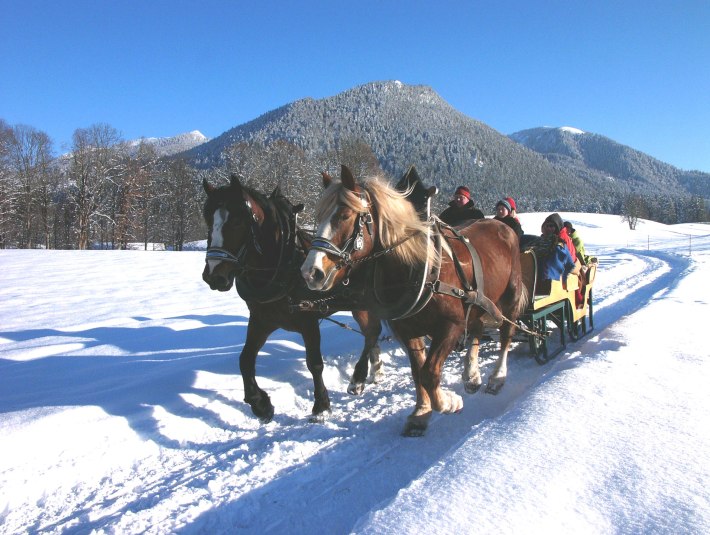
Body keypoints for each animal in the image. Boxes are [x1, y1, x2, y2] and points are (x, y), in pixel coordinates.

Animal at [202, 176, 384, 422]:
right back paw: (375, 369)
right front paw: (260, 404)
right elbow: (245, 359)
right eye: (207, 218)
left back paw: (359, 378)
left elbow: (314, 364)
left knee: (372, 333)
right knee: (372, 334)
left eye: (238, 221)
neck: (282, 266)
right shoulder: (261, 320)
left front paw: (321, 406)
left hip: (363, 304)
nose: (214, 275)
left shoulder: (308, 321)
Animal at [300, 164, 528, 436]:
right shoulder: (407, 330)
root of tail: (501, 225)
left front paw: (448, 402)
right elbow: (418, 373)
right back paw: (471, 375)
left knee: (506, 333)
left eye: (344, 215)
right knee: (478, 327)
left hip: (510, 297)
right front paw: (421, 413)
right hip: (478, 300)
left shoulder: (450, 326)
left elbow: (430, 373)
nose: (310, 272)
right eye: (318, 216)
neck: (418, 268)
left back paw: (496, 377)